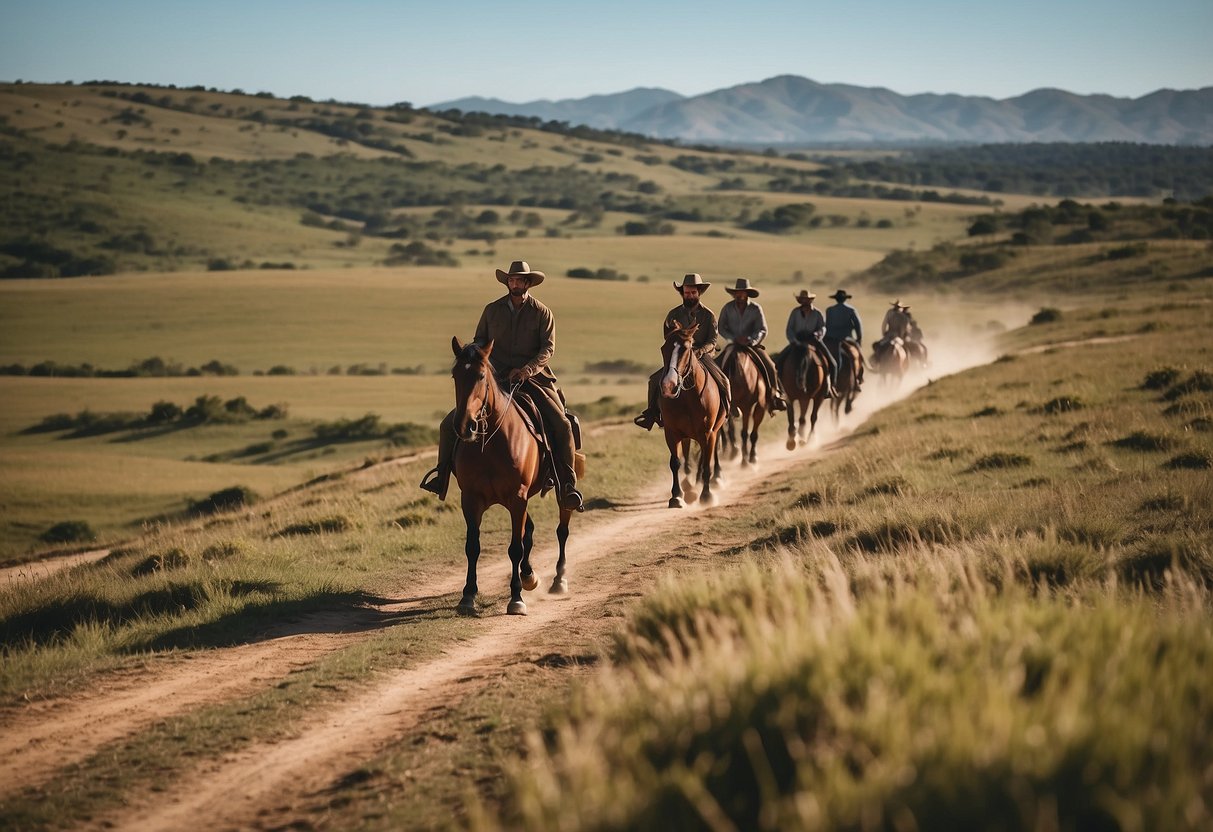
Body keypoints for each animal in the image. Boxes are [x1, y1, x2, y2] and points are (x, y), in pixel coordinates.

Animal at [451, 334, 572, 616]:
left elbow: (515, 548)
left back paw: (558, 580)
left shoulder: (517, 498)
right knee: (530, 531)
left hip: (561, 491)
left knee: (562, 529)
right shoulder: (471, 499)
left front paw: (516, 598)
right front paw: (468, 595)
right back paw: (530, 576)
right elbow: (473, 546)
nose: (465, 425)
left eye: (481, 376)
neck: (491, 444)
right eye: (454, 375)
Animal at [659, 325, 722, 509]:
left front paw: (706, 495)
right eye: (663, 349)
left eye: (686, 349)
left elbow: (707, 464)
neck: (687, 397)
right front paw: (676, 496)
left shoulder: (707, 433)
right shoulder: (671, 433)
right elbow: (675, 462)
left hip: (712, 432)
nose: (668, 385)